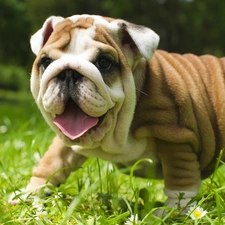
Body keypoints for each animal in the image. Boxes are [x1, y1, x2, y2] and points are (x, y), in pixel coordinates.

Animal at [23, 14, 225, 213]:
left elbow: (180, 181)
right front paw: (30, 193)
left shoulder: (175, 140)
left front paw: (172, 211)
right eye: (46, 62)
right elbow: (52, 162)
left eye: (104, 62)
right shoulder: (66, 140)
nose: (68, 73)